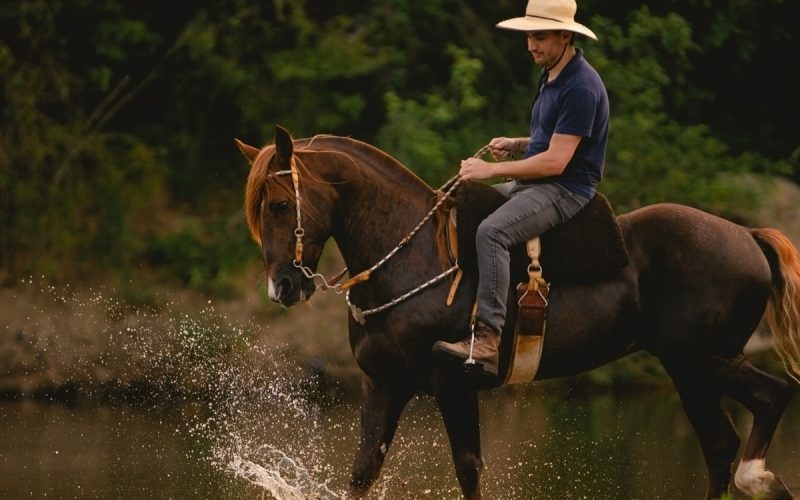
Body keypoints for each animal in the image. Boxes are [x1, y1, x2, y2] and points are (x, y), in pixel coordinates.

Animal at [235, 125, 800, 500]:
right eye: (259, 209)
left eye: (281, 205)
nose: (282, 287)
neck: (412, 257)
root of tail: (745, 234)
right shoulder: (383, 384)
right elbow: (362, 471)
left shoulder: (452, 384)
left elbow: (467, 468)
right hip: (688, 367)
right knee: (720, 446)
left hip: (704, 358)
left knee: (772, 398)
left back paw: (760, 476)